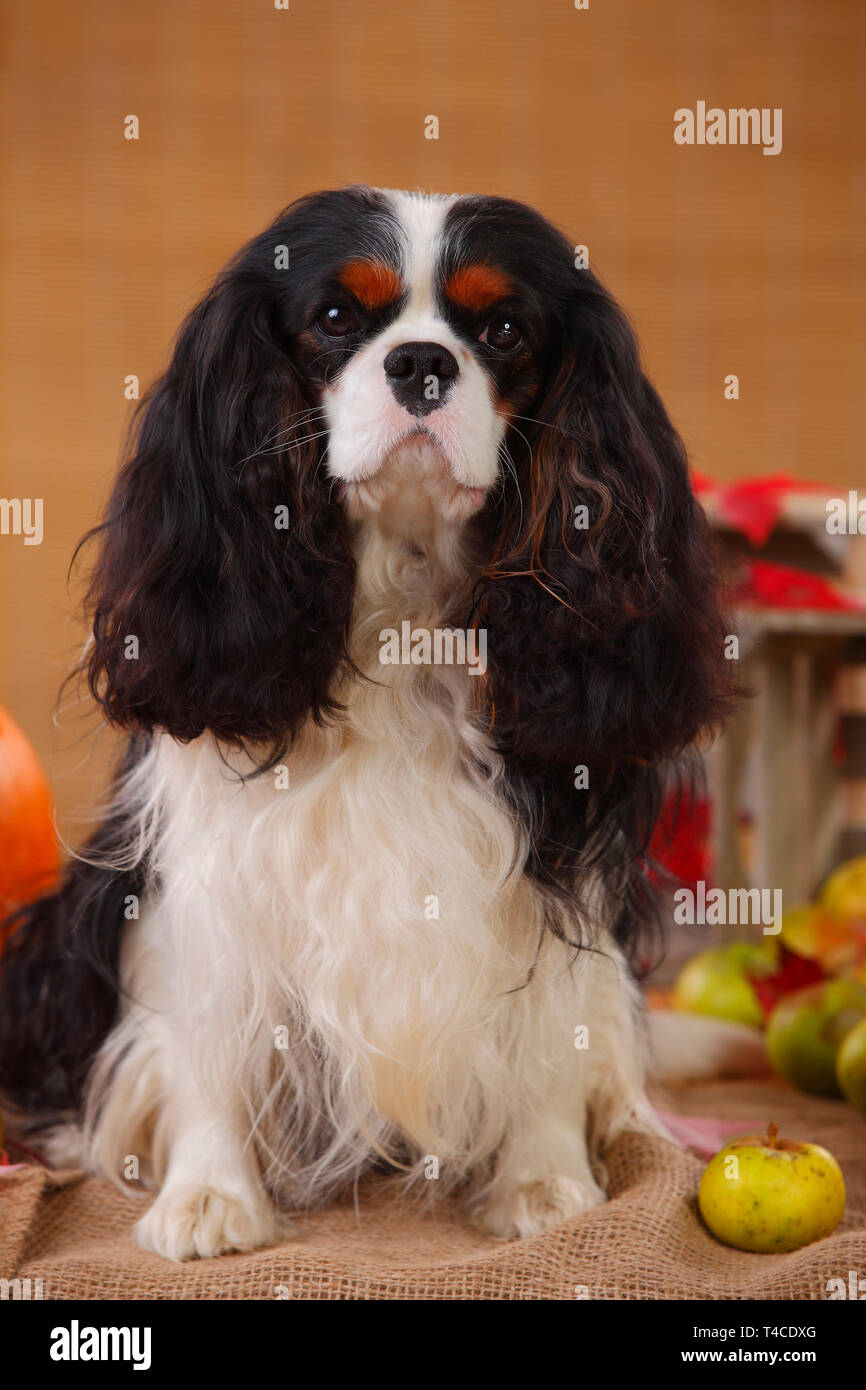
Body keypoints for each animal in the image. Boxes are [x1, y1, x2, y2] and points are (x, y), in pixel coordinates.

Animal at [0, 190, 733, 1267]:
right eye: (338, 318)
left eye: (502, 330)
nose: (420, 361)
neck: (405, 596)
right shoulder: (209, 871)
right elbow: (207, 1030)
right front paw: (209, 1195)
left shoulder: (554, 856)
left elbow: (554, 1023)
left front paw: (544, 1181)